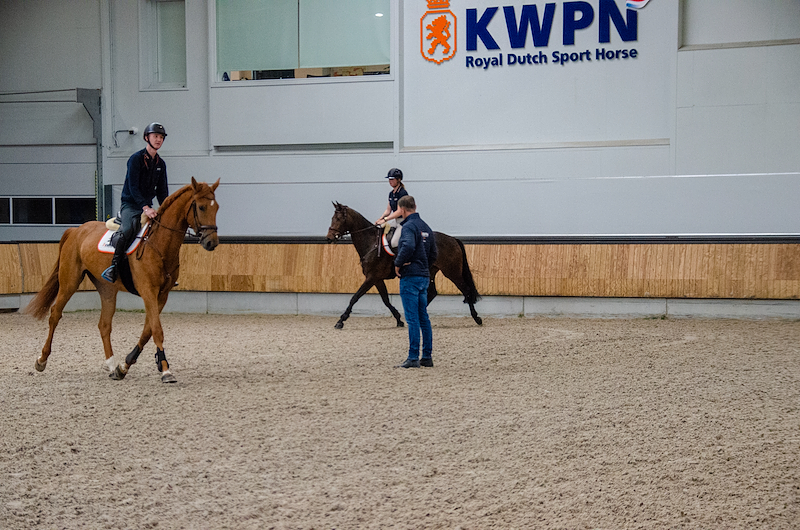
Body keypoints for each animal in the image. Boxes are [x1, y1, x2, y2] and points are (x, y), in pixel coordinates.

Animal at [24, 177, 220, 383]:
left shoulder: (162, 295)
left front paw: (124, 366)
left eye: (217, 208)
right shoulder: (148, 291)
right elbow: (156, 329)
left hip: (107, 289)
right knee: (55, 314)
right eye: (201, 207)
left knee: (104, 324)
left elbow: (147, 331)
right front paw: (166, 370)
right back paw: (42, 360)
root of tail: (76, 230)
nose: (211, 242)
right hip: (70, 281)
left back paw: (112, 365)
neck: (159, 244)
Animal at [326, 202, 482, 329]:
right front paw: (399, 320)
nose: (329, 238)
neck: (372, 242)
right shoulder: (377, 279)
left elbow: (355, 297)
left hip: (452, 272)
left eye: (339, 219)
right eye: (332, 218)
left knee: (466, 290)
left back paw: (477, 318)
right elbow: (385, 300)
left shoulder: (371, 277)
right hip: (431, 271)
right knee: (432, 292)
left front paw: (341, 320)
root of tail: (452, 239)